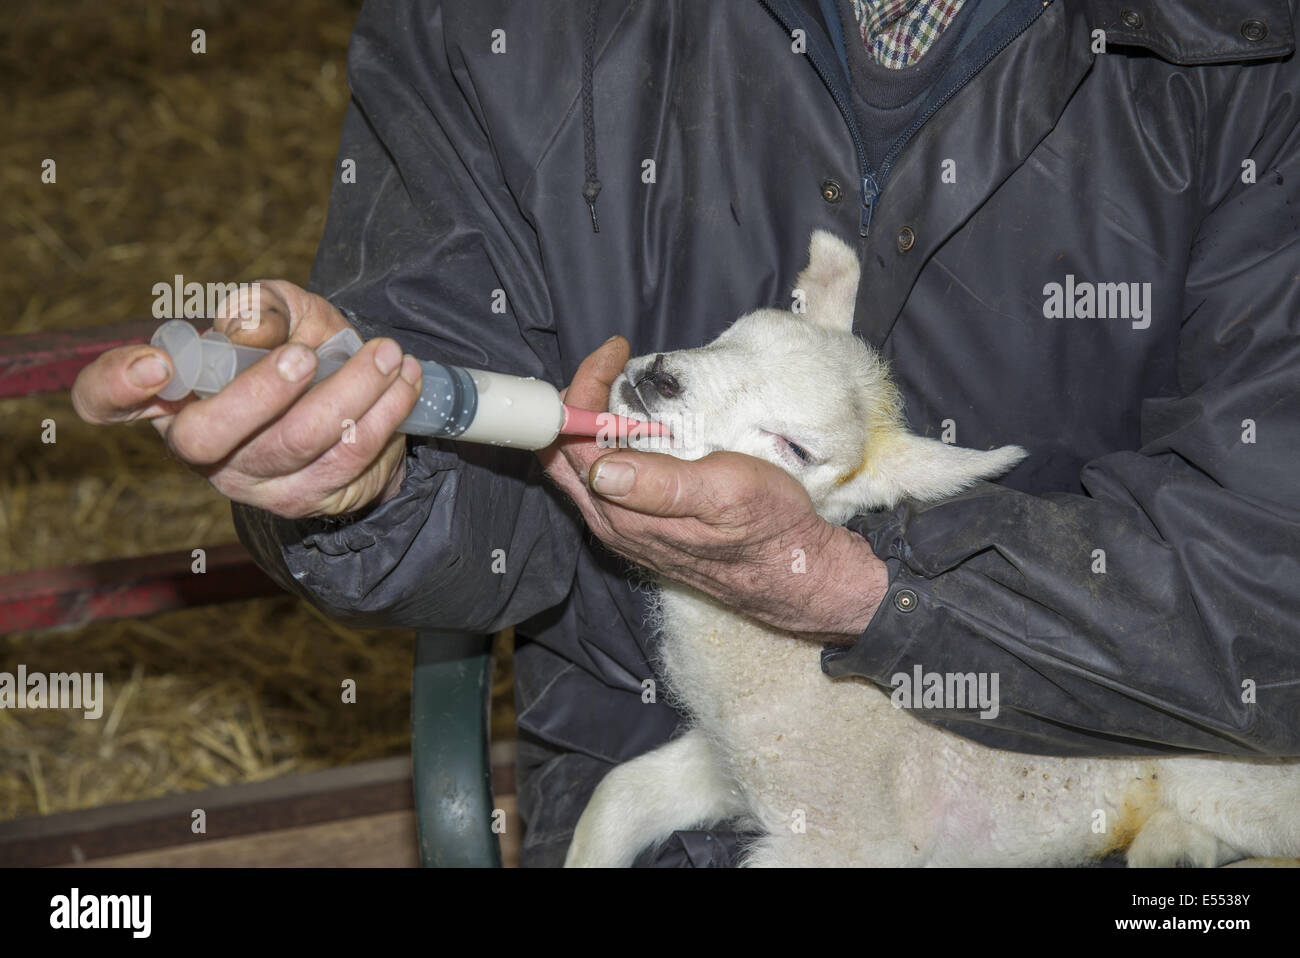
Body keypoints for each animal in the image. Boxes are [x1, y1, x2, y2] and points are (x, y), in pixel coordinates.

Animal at [564, 230, 1300, 868]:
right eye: (727, 338)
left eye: (797, 448)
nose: (660, 379)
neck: (776, 677)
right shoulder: (728, 765)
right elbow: (616, 798)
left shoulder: (842, 838)